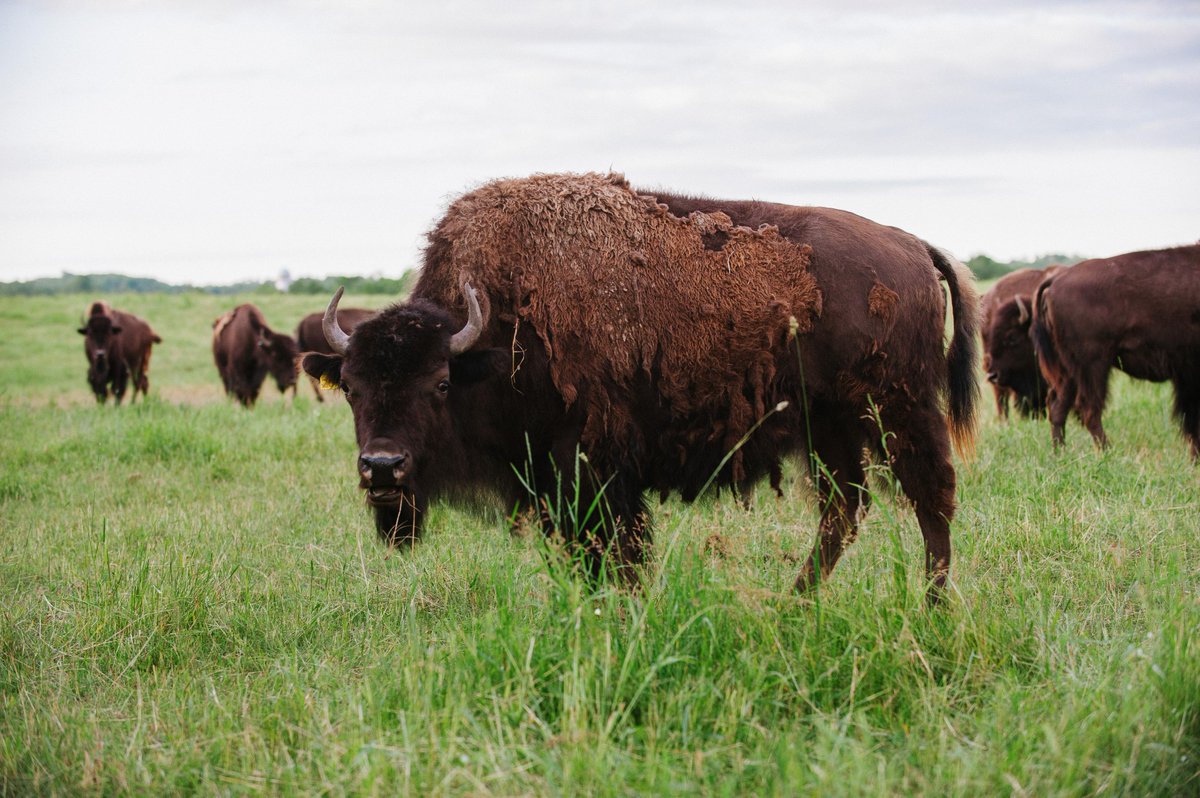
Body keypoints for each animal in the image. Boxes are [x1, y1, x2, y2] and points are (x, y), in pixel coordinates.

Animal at [303, 173, 979, 602]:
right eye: (352, 388)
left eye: (440, 384)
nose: (382, 467)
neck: (496, 331)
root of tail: (911, 245)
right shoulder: (559, 483)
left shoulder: (592, 472)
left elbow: (616, 553)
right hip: (831, 427)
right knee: (843, 510)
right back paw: (794, 605)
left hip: (899, 410)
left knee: (931, 499)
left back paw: (931, 609)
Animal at [1032, 244, 1200, 457]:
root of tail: (1056, 281)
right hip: (1094, 366)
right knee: (1089, 410)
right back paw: (1108, 453)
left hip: (1069, 371)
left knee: (1058, 407)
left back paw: (1060, 453)